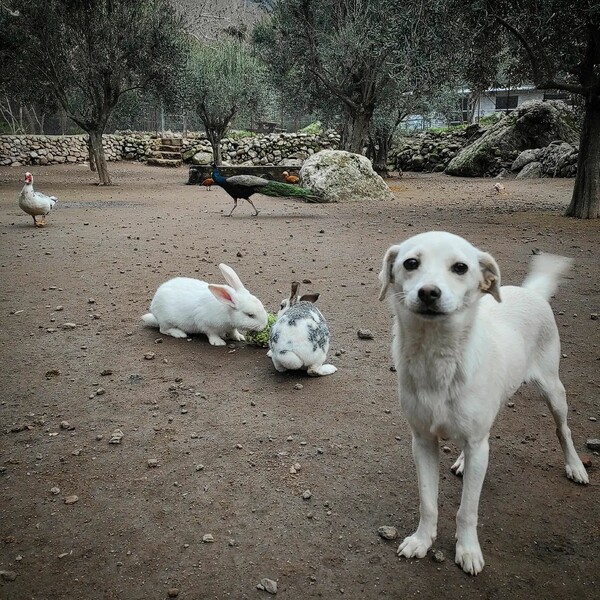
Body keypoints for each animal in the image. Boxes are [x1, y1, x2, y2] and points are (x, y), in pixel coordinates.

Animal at [380, 231, 584, 576]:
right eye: (411, 263)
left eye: (460, 267)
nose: (429, 293)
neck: (437, 357)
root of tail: (531, 292)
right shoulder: (422, 441)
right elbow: (428, 501)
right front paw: (422, 540)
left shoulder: (477, 443)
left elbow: (467, 510)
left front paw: (467, 550)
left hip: (553, 390)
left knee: (563, 430)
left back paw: (575, 466)